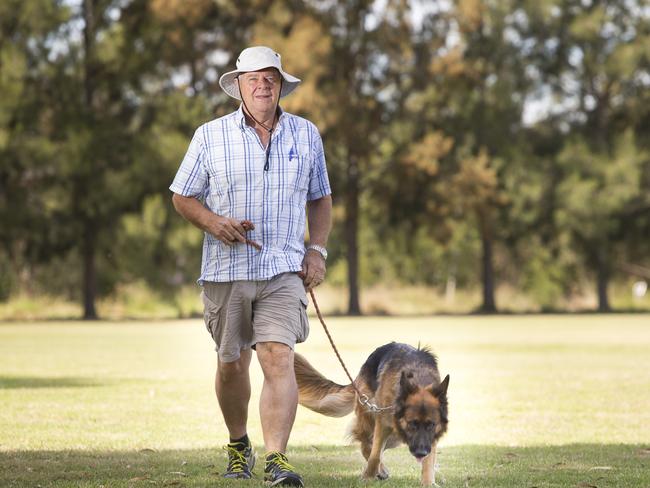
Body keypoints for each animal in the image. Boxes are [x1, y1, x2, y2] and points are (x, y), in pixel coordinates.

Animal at [292, 342, 446, 486]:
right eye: (412, 423)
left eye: (431, 425)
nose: (421, 452)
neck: (418, 379)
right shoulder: (383, 423)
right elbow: (375, 455)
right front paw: (367, 478)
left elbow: (428, 461)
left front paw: (428, 482)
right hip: (370, 416)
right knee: (366, 444)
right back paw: (379, 470)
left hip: (394, 436)